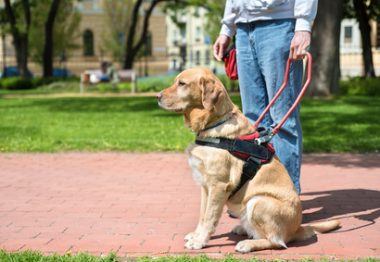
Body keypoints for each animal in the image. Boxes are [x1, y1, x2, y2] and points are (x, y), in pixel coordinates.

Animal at [156, 67, 340, 252]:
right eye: (175, 81)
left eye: (182, 83)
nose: (157, 96)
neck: (214, 124)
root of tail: (297, 228)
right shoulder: (205, 186)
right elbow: (202, 215)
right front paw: (196, 235)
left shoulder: (218, 185)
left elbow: (209, 217)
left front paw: (200, 241)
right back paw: (243, 229)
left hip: (258, 201)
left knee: (277, 242)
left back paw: (248, 244)